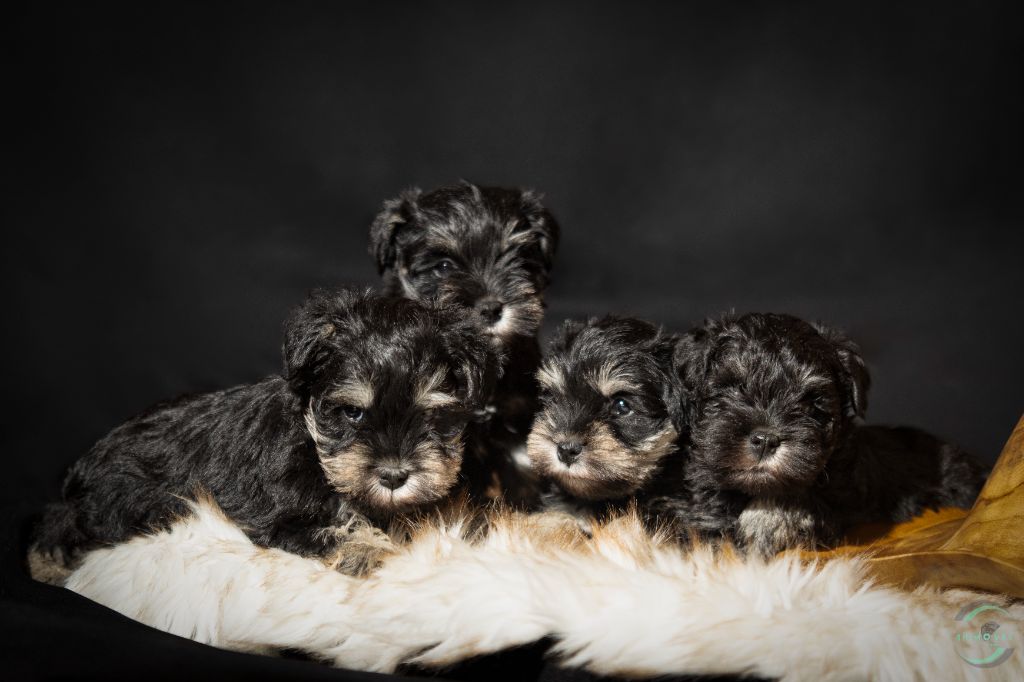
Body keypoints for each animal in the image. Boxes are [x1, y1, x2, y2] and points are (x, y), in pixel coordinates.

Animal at [34, 286, 505, 577]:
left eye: (433, 417)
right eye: (352, 413)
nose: (393, 476)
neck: (314, 449)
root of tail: (78, 474)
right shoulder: (276, 522)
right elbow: (333, 531)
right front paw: (373, 549)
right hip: (132, 502)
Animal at [663, 311, 991, 557]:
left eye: (813, 402)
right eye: (730, 388)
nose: (766, 440)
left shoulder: (838, 499)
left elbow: (794, 504)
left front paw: (764, 525)